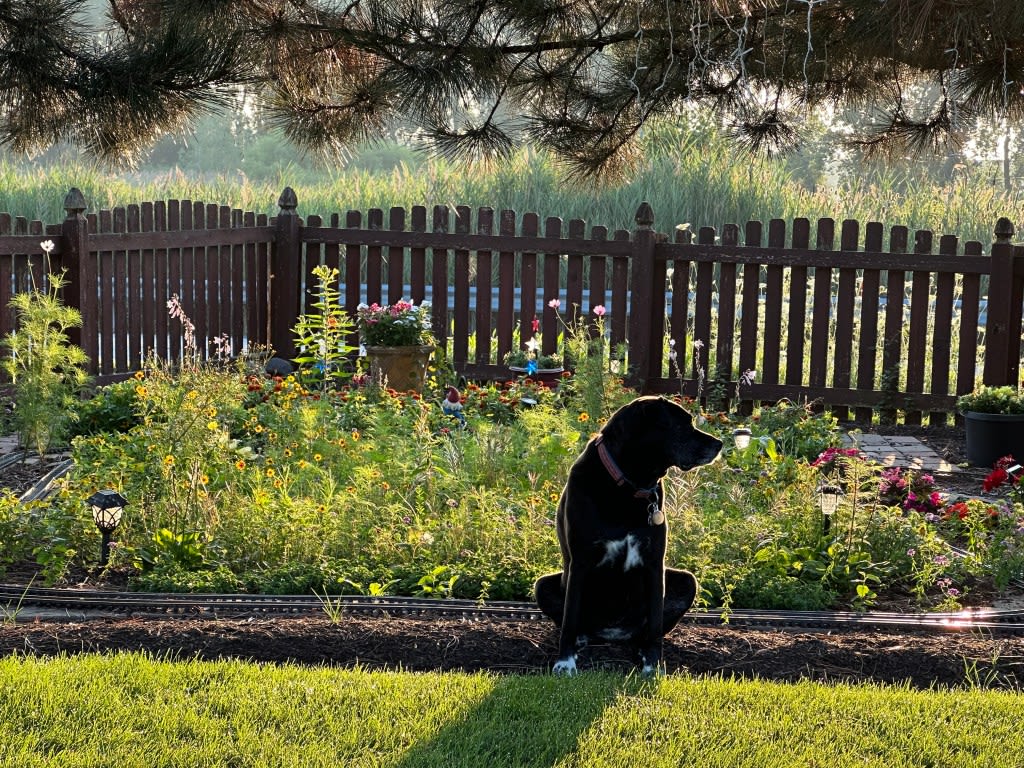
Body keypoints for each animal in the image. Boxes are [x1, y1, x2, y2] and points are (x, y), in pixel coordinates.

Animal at [536, 397, 720, 671]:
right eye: (682, 425)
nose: (719, 444)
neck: (630, 485)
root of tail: (615, 634)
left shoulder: (654, 564)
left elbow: (655, 622)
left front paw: (652, 664)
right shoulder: (580, 563)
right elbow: (569, 619)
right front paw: (565, 663)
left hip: (688, 581)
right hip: (544, 585)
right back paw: (581, 639)